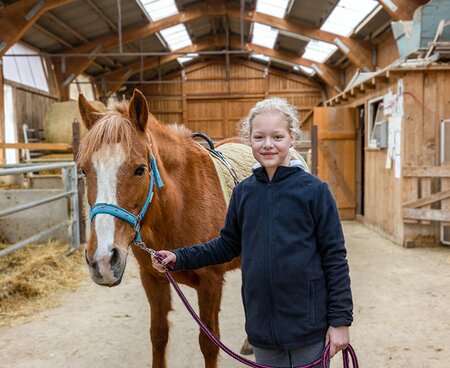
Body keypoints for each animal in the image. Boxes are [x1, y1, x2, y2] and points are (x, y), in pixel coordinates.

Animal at [79, 90, 244, 368]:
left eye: (140, 169)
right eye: (82, 170)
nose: (102, 261)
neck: (180, 205)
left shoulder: (210, 282)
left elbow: (209, 343)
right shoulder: (152, 279)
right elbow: (158, 335)